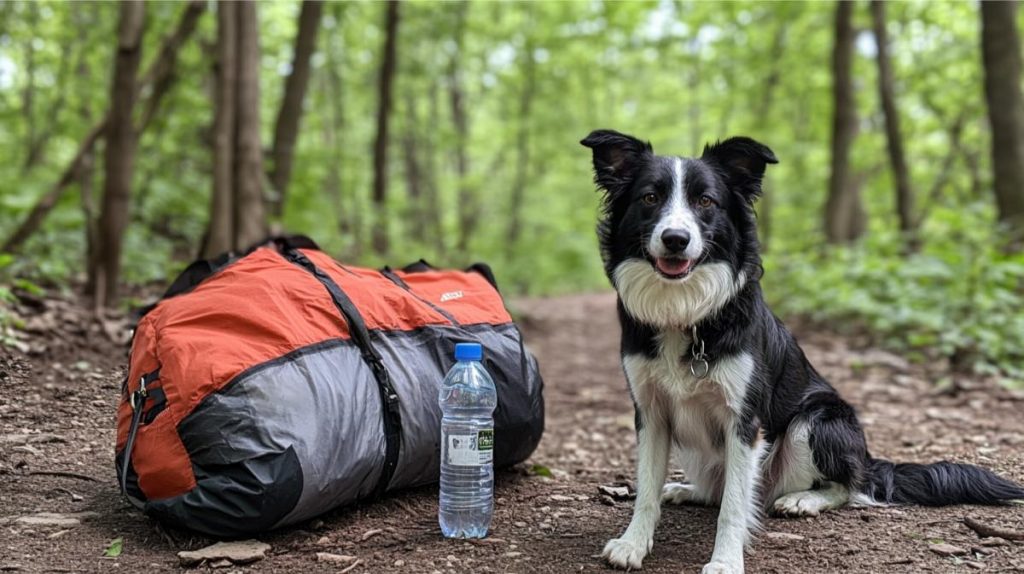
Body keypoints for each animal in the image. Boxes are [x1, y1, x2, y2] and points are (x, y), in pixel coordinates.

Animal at [581, 129, 1019, 572]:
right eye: (650, 198)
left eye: (706, 202)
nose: (676, 239)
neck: (685, 313)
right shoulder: (650, 413)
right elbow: (646, 489)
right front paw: (633, 543)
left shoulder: (745, 420)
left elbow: (734, 507)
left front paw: (725, 561)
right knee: (718, 490)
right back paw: (687, 490)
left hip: (818, 419)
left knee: (847, 486)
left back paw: (803, 499)